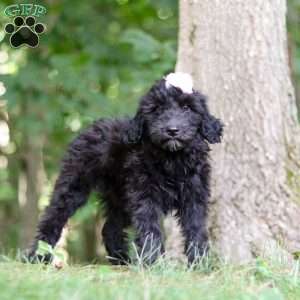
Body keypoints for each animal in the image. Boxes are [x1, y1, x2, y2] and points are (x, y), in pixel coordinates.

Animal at [27, 73, 223, 264]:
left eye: (187, 108)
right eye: (157, 109)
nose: (172, 130)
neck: (172, 158)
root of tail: (91, 127)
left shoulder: (194, 196)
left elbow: (196, 228)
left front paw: (199, 262)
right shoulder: (145, 196)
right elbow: (150, 228)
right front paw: (152, 262)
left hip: (120, 197)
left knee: (110, 228)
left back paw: (122, 259)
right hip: (74, 183)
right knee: (53, 216)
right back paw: (37, 255)